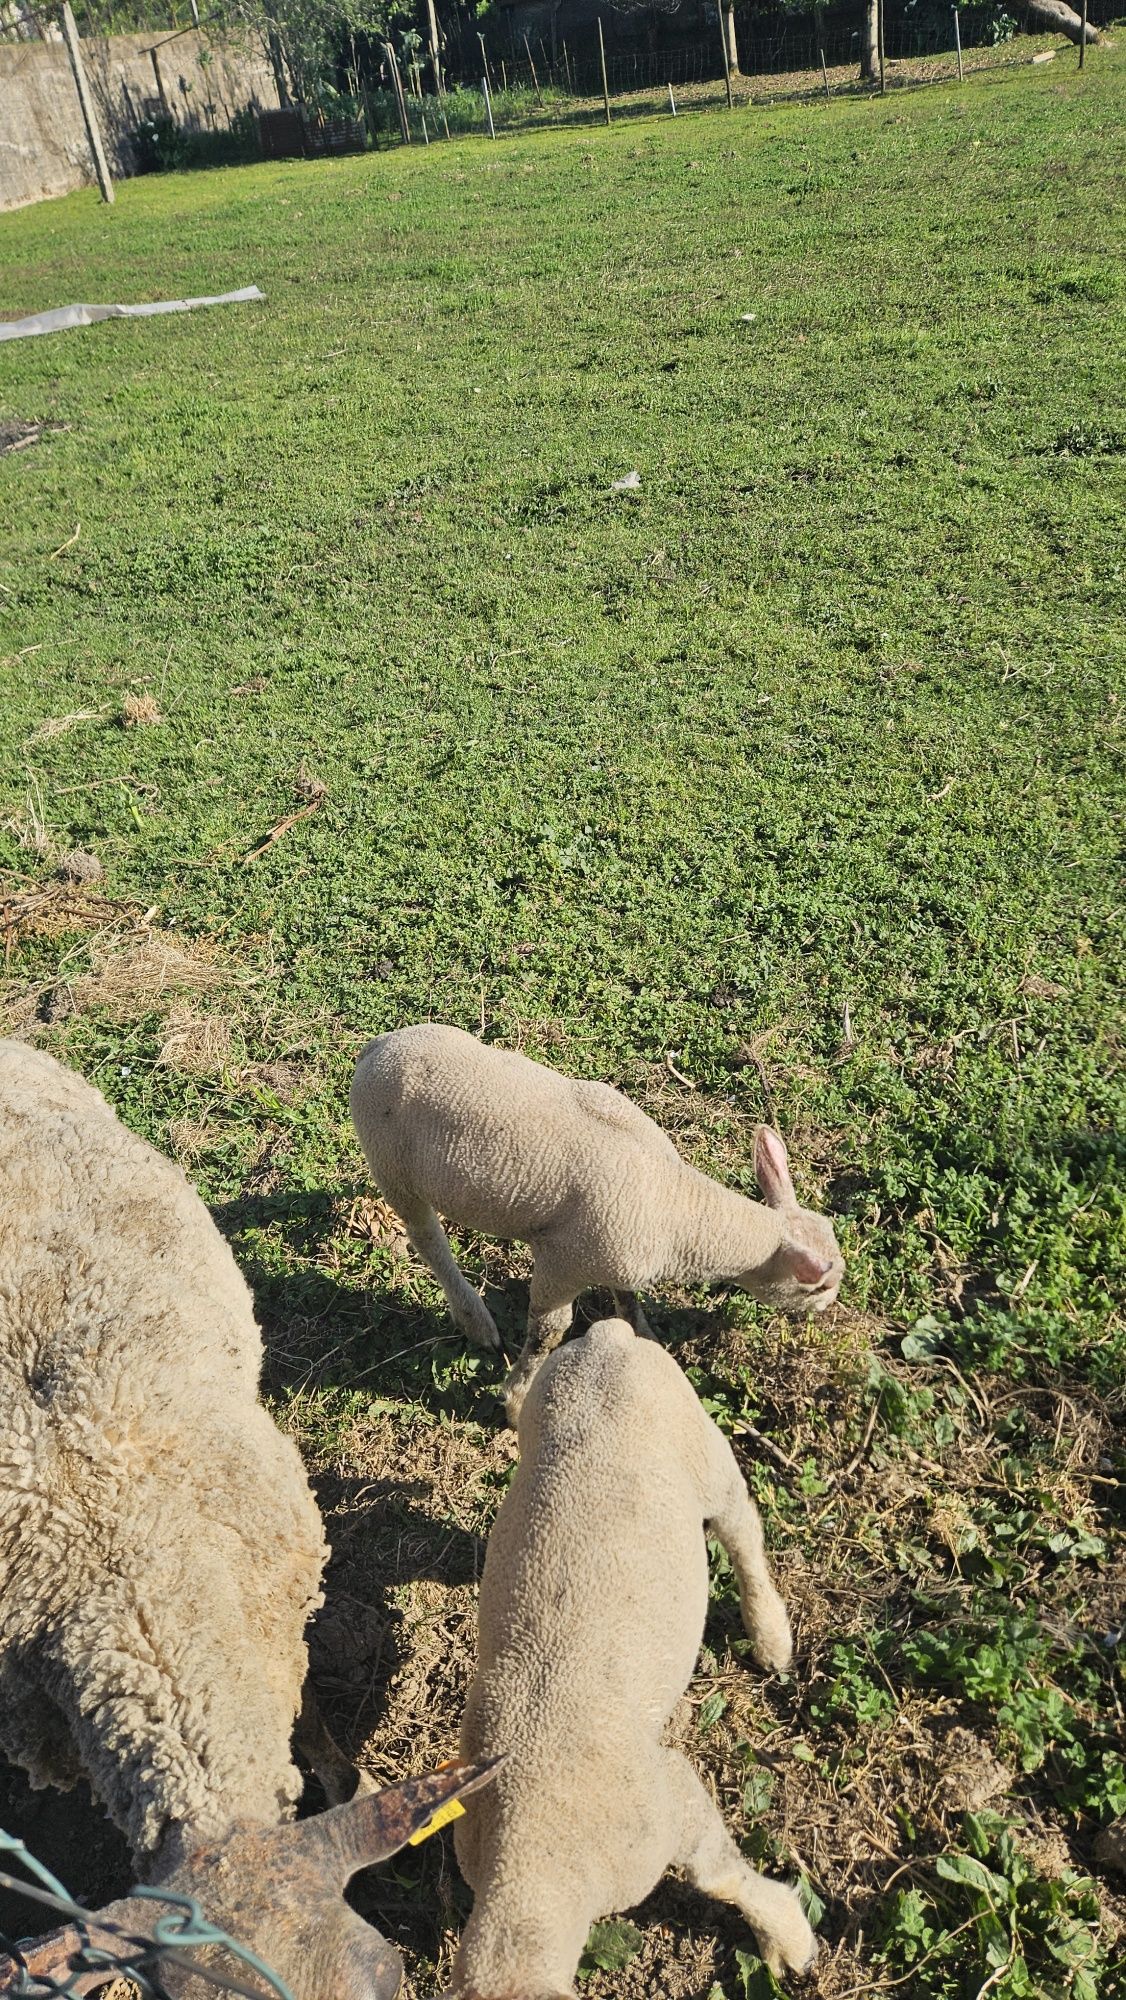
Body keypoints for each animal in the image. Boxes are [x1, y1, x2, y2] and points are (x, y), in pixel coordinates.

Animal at [352, 1024, 848, 1416]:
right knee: (427, 1238)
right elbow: (549, 1332)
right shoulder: (565, 1260)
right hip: (392, 1165)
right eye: (820, 1285)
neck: (676, 1205)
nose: (829, 1309)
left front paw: (647, 1338)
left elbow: (627, 1300)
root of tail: (376, 1047)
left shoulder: (616, 1256)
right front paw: (515, 1400)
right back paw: (477, 1322)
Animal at [442, 1312, 820, 2000]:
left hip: (701, 1442)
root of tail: (609, 1338)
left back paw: (771, 1637)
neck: (533, 1864)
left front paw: (787, 1940)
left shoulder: (668, 1798)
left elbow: (718, 1876)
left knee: (742, 1529)